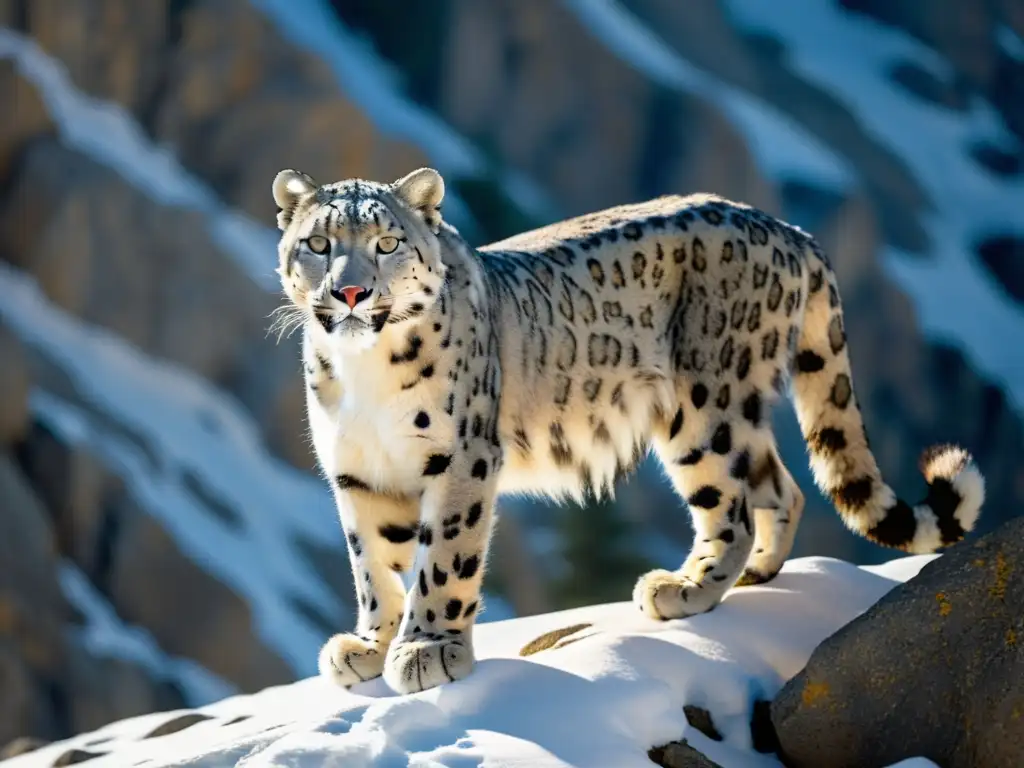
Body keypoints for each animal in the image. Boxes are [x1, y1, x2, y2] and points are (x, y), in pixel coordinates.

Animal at [270, 165, 983, 696]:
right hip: (734, 411)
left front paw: (428, 649)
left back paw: (686, 587)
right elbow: (376, 563)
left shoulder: (460, 457)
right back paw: (756, 573)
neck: (364, 378)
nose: (352, 293)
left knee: (730, 503)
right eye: (318, 244)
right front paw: (371, 644)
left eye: (388, 243)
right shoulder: (357, 471)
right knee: (780, 484)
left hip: (704, 405)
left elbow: (444, 556)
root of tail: (788, 228)